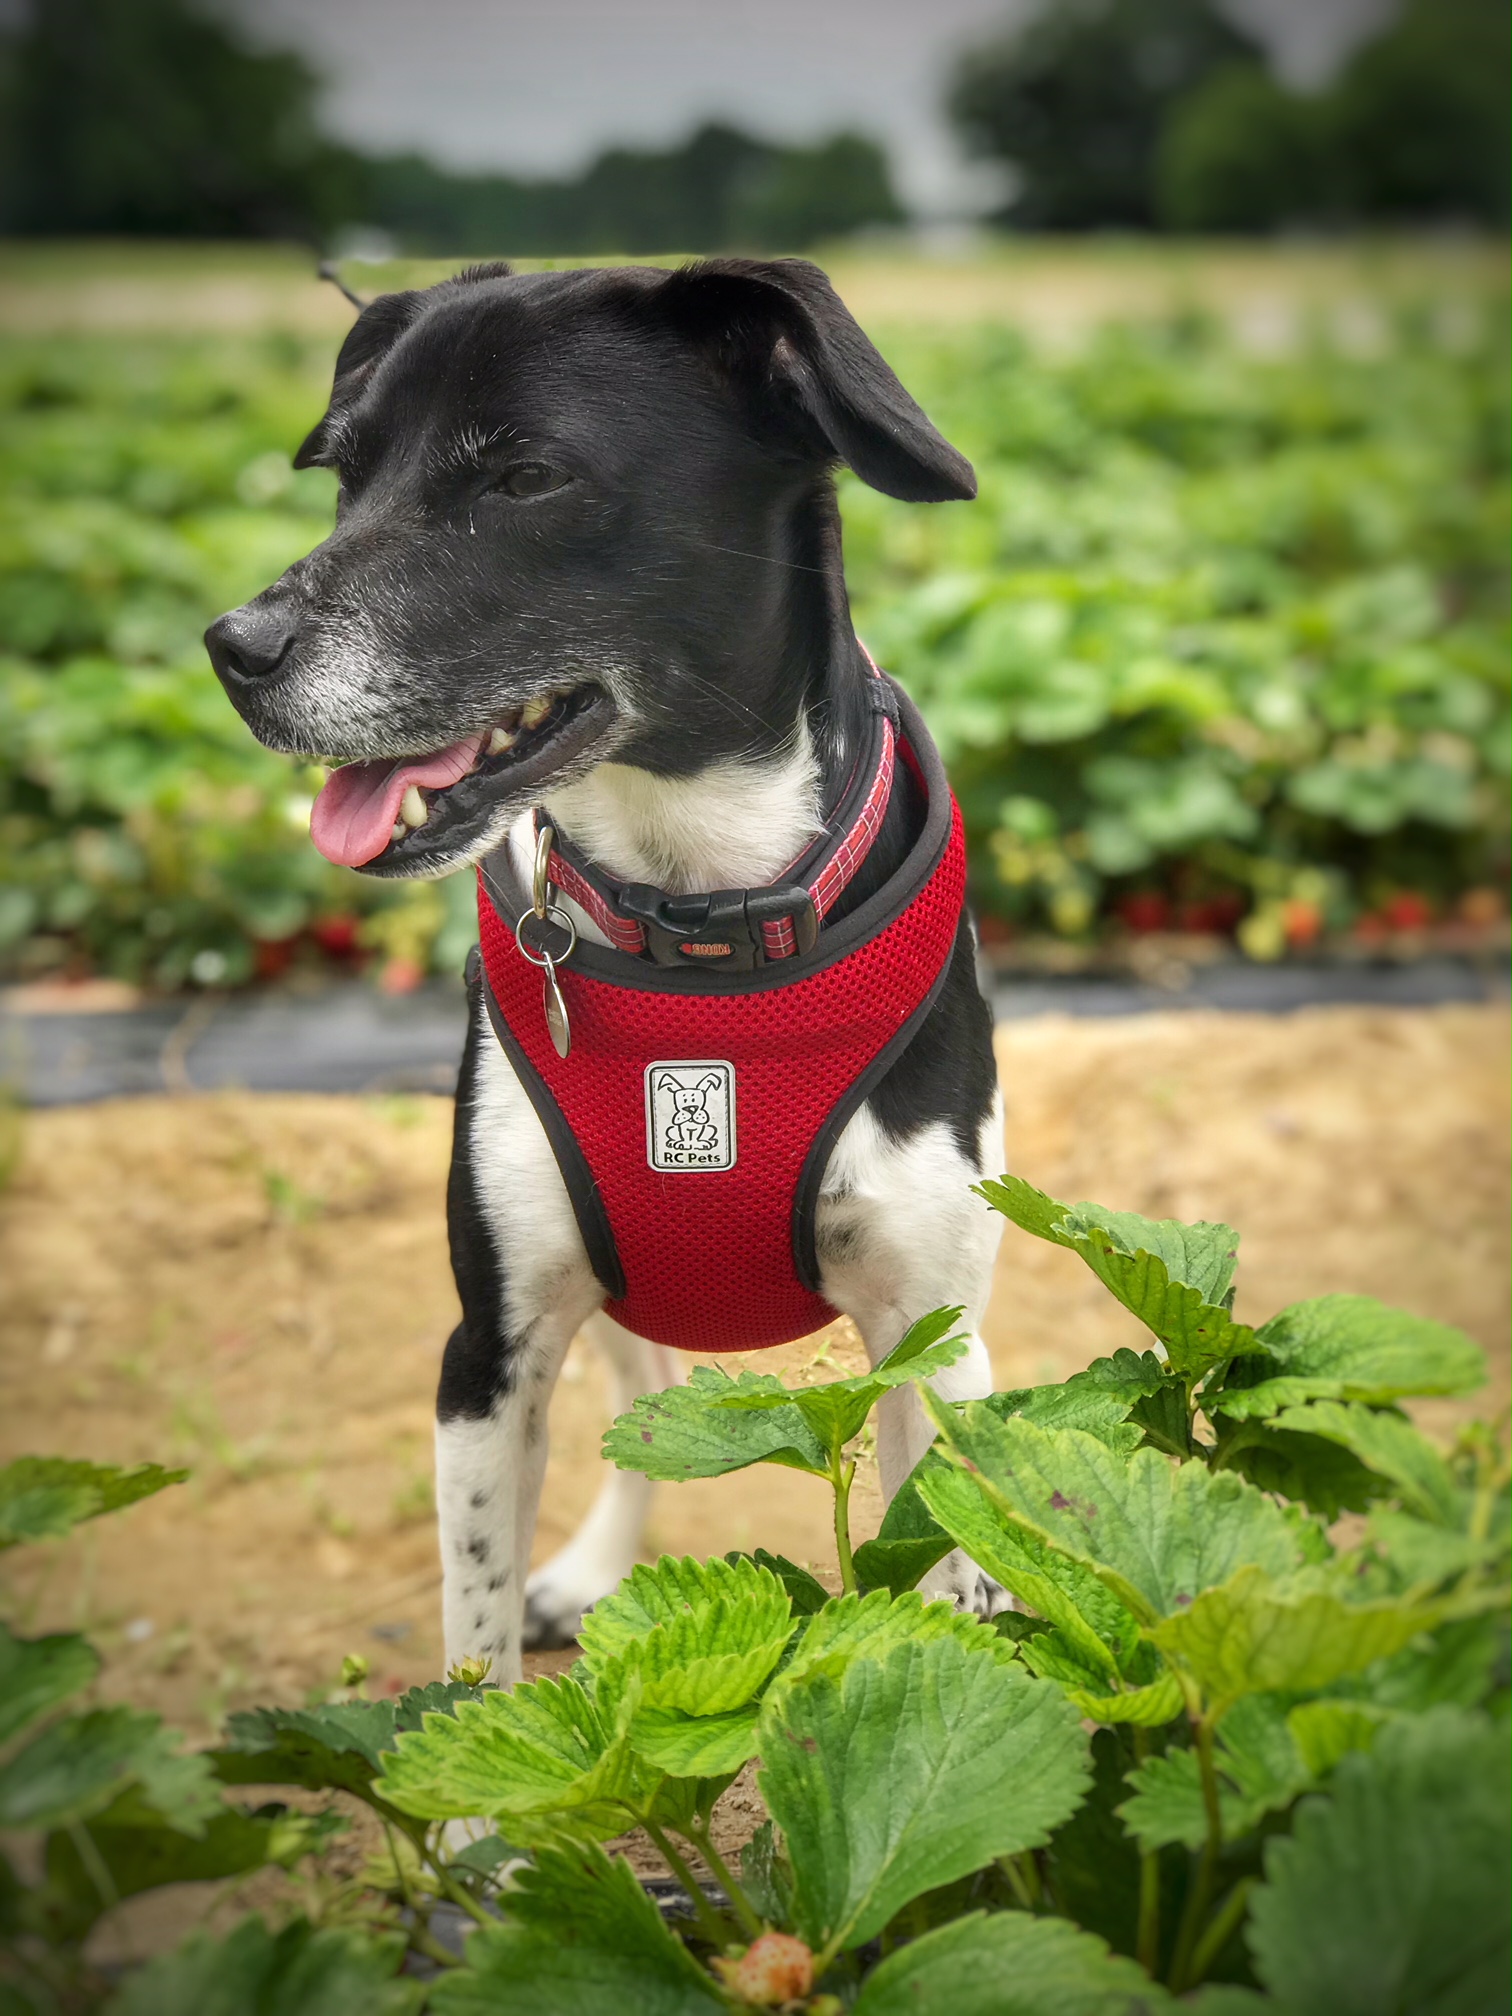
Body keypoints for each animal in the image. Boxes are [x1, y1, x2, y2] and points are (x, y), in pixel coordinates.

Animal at [204, 256, 1008, 1685]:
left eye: (524, 478)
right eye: (345, 473)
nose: (233, 649)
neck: (699, 911)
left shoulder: (931, 1330)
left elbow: (951, 1567)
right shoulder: (489, 1347)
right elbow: (473, 1655)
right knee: (648, 1403)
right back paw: (586, 1572)